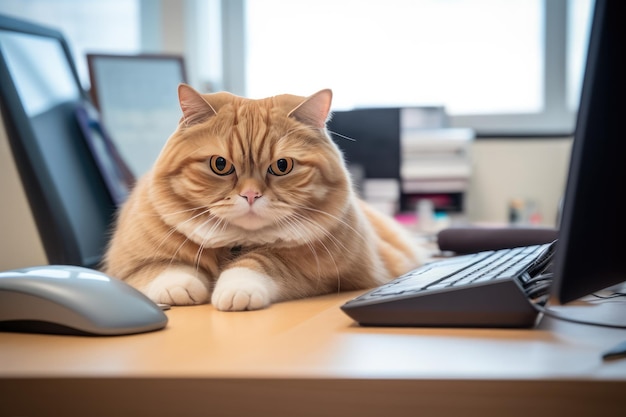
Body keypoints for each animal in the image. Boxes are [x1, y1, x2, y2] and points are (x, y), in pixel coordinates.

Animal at [103, 84, 424, 310]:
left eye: (282, 166)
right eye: (220, 164)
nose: (250, 194)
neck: (235, 243)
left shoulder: (319, 274)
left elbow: (262, 261)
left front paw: (236, 287)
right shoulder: (128, 267)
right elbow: (163, 267)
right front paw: (180, 286)